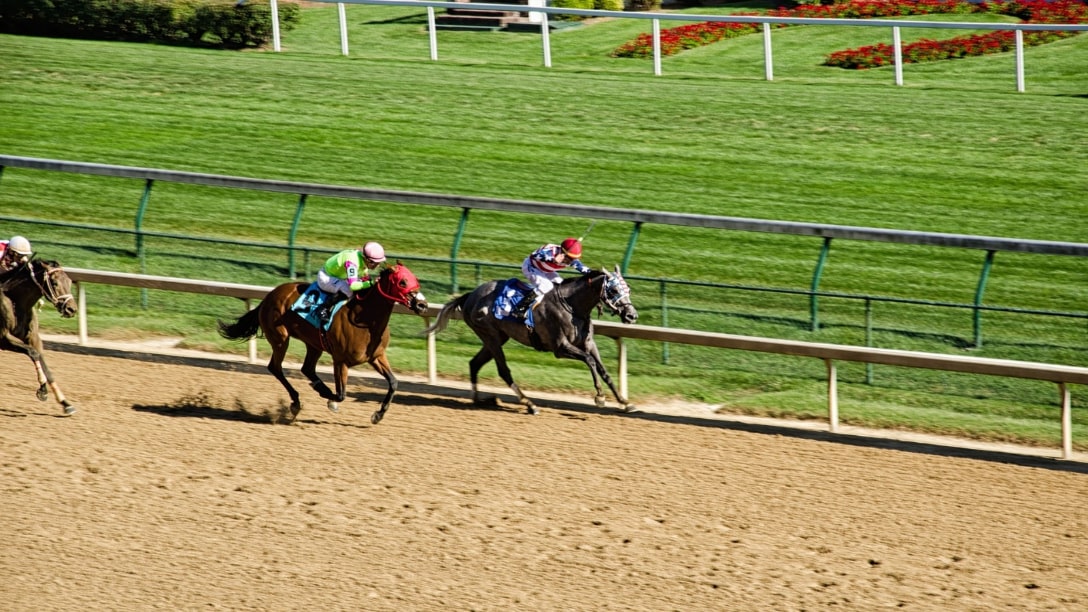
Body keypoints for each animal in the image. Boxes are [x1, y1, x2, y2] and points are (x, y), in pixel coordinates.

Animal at [0, 256, 79, 413]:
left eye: (69, 281)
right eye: (54, 283)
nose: (71, 309)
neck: (15, 300)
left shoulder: (33, 338)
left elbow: (44, 363)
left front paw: (65, 402)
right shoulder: (2, 337)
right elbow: (33, 353)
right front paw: (42, 389)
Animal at [218, 262, 426, 424]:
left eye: (415, 279)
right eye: (402, 282)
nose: (423, 305)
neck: (365, 318)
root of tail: (269, 296)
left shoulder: (376, 356)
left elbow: (393, 383)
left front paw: (378, 415)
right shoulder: (340, 360)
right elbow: (341, 394)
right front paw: (330, 400)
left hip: (314, 344)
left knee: (307, 368)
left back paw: (315, 387)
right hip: (280, 338)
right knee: (275, 367)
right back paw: (297, 401)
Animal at [419, 264, 635, 411]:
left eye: (628, 289)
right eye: (614, 290)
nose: (632, 315)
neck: (573, 306)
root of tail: (471, 295)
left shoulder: (588, 343)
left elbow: (604, 370)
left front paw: (624, 401)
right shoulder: (560, 347)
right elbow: (590, 361)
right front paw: (600, 396)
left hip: (497, 337)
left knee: (474, 363)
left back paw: (477, 399)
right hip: (490, 336)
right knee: (503, 370)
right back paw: (529, 403)